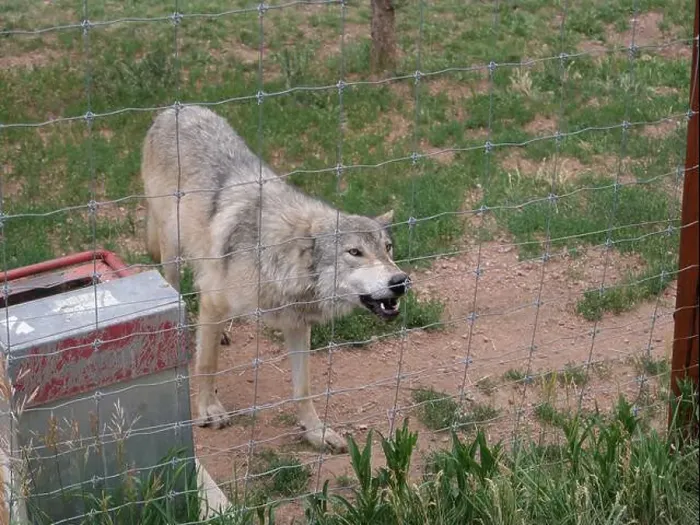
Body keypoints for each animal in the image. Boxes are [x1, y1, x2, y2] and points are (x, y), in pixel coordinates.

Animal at [140, 105, 410, 452]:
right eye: (354, 252)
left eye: (387, 248)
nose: (400, 281)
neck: (276, 261)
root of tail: (174, 109)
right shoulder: (216, 299)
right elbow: (207, 364)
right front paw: (208, 409)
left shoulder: (297, 324)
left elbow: (303, 388)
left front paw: (316, 432)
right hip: (172, 250)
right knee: (175, 288)